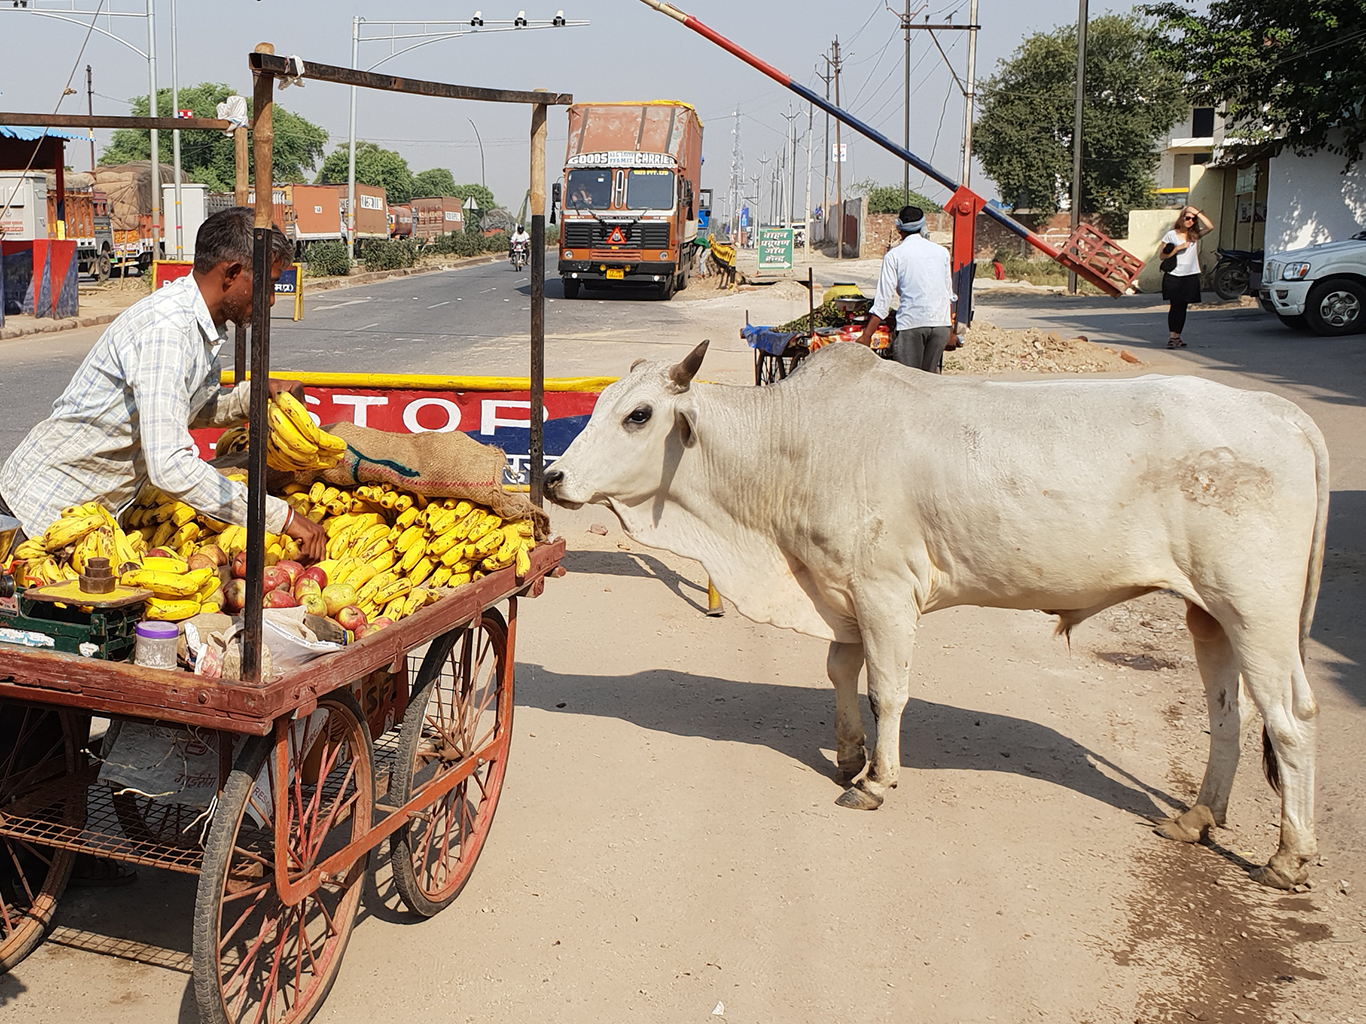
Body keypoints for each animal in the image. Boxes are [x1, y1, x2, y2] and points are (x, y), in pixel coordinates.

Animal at [540, 345, 1322, 890]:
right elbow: (840, 669)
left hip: (1257, 612)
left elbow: (887, 689)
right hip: (1208, 613)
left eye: (638, 414)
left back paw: (1289, 858)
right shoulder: (844, 593)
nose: (552, 477)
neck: (792, 448)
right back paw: (1196, 819)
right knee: (1229, 716)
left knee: (1289, 722)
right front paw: (848, 754)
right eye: (603, 403)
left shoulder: (885, 592)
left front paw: (875, 780)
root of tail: (1281, 413)